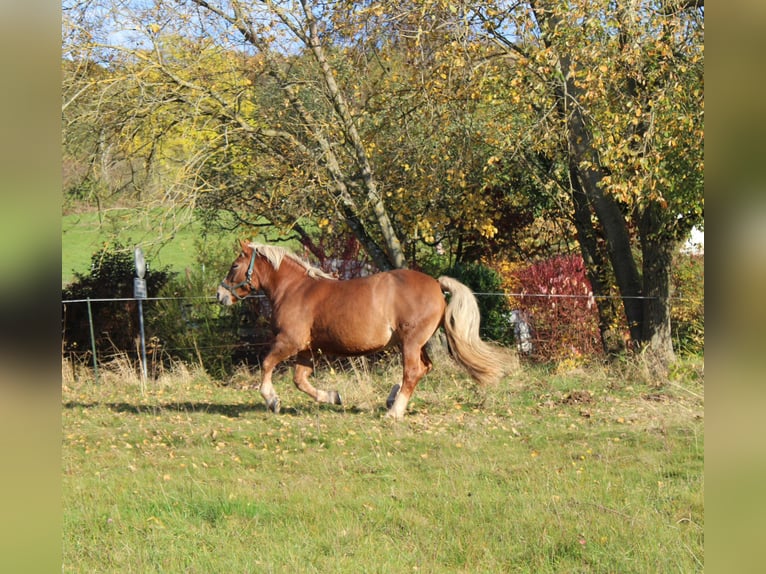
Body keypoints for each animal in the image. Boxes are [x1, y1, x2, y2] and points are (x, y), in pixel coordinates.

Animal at [216, 241, 517, 419]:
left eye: (234, 265)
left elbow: (267, 364)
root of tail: (436, 284)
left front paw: (271, 400)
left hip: (410, 343)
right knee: (424, 369)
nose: (220, 295)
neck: (295, 290)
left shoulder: (289, 342)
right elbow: (300, 380)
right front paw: (333, 397)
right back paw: (391, 399)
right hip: (416, 343)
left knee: (412, 372)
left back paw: (394, 412)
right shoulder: (307, 350)